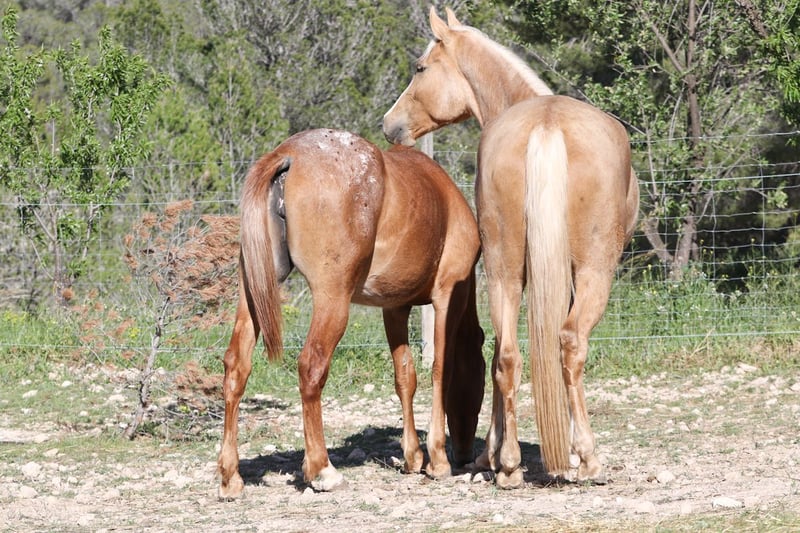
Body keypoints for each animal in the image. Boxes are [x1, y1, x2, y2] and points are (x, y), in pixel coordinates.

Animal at [216, 128, 485, 498]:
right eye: (481, 379)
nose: (465, 452)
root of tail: (287, 156)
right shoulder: (446, 298)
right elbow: (439, 371)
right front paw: (438, 459)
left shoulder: (394, 308)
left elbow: (405, 377)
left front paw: (413, 456)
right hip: (333, 300)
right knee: (311, 366)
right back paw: (322, 470)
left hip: (252, 295)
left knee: (236, 367)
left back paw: (231, 476)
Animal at [383, 8, 639, 489]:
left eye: (420, 68)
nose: (389, 125)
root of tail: (546, 125)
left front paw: (492, 455)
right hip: (594, 272)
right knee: (570, 343)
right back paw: (587, 459)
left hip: (503, 271)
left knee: (506, 356)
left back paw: (508, 465)